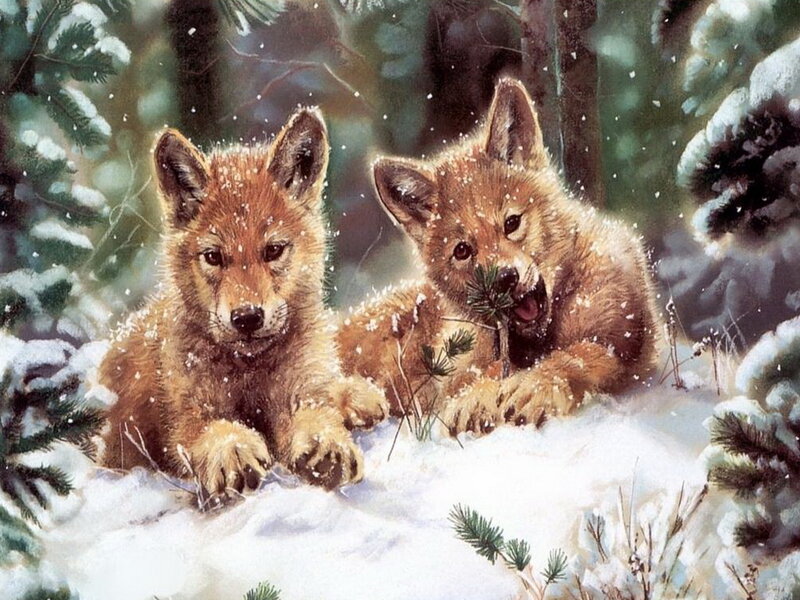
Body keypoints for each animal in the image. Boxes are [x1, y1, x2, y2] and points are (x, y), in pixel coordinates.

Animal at [100, 107, 387, 497]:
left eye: (273, 250)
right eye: (213, 257)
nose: (247, 317)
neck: (249, 370)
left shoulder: (299, 393)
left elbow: (316, 413)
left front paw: (326, 446)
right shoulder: (188, 416)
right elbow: (216, 430)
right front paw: (234, 451)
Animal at [337, 78, 659, 435]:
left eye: (512, 223)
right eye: (462, 250)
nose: (505, 279)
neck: (536, 340)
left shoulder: (621, 343)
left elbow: (577, 354)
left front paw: (536, 387)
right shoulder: (452, 374)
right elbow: (483, 373)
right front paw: (477, 398)